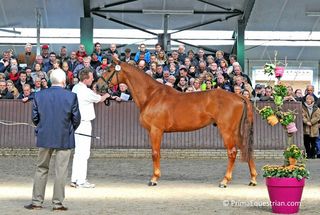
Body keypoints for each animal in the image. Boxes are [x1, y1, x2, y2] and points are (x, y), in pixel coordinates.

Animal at [97, 60, 258, 188]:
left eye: (109, 70)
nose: (97, 86)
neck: (151, 96)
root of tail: (239, 96)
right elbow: (156, 153)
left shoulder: (156, 130)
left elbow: (155, 153)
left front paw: (154, 179)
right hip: (236, 132)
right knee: (246, 149)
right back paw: (253, 179)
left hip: (227, 131)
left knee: (232, 153)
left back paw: (224, 181)